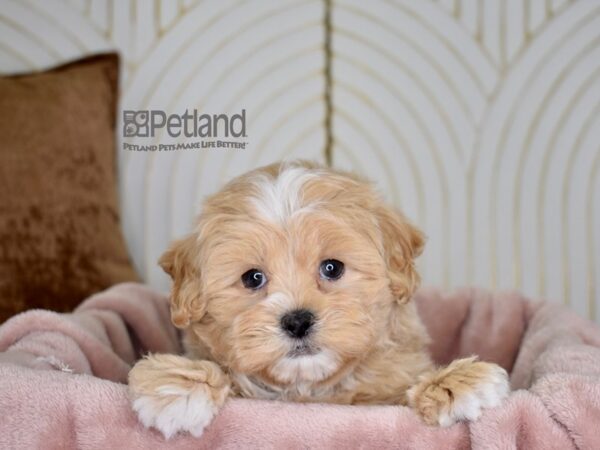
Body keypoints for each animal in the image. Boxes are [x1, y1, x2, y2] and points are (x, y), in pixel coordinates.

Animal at [129, 163, 508, 440]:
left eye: (332, 268)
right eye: (252, 278)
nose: (297, 321)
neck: (309, 388)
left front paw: (453, 384)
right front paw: (179, 386)